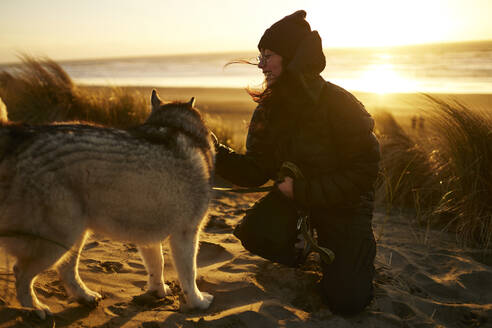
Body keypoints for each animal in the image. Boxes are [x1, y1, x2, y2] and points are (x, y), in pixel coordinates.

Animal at [0, 89, 215, 318]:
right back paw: (34, 308)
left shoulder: (148, 237)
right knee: (22, 272)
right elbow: (189, 274)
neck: (176, 126)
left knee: (66, 270)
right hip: (61, 237)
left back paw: (84, 296)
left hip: (76, 234)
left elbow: (157, 265)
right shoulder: (186, 234)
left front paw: (158, 291)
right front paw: (198, 302)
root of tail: (19, 135)